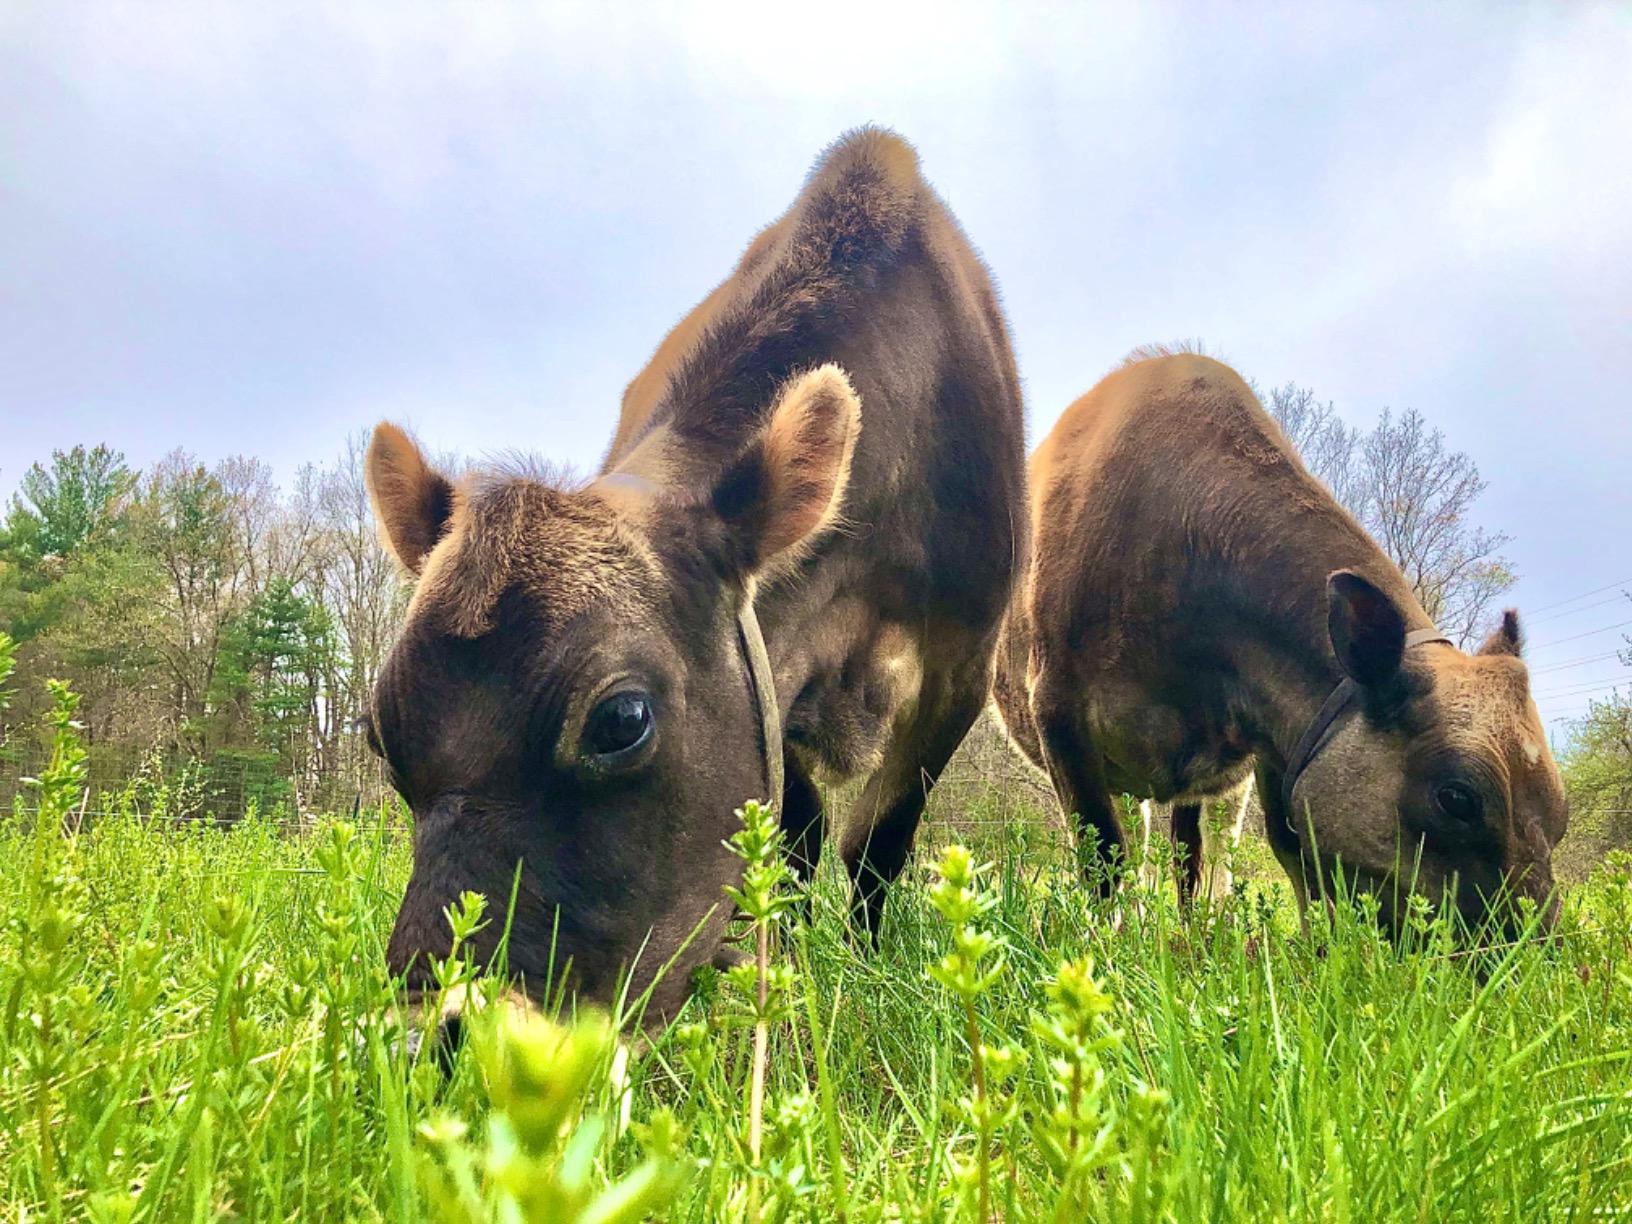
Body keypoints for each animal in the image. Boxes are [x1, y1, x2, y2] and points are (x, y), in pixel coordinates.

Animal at [363, 128, 1027, 1023]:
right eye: (380, 732)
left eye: (620, 720)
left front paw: (863, 966)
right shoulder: (778, 684)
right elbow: (794, 836)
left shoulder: (962, 665)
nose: (423, 1032)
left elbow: (875, 844)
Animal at [992, 350, 1567, 937]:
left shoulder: (1274, 743)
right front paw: (1114, 945)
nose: (1529, 950)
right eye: (1456, 798)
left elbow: (1283, 853)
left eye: (1559, 813)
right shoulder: (1059, 714)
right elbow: (1103, 858)